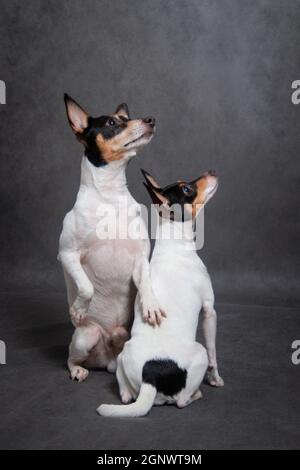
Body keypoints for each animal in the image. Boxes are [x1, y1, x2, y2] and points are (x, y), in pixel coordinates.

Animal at [58, 96, 166, 382]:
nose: (151, 119)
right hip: (85, 337)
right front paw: (79, 309)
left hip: (126, 338)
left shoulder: (140, 259)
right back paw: (78, 370)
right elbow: (86, 286)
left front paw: (151, 305)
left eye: (126, 118)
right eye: (111, 123)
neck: (110, 196)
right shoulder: (67, 254)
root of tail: (106, 360)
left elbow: (147, 282)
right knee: (71, 358)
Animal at [97, 170, 224, 418]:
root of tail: (151, 375)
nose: (211, 172)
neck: (174, 244)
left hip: (123, 354)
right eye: (186, 189)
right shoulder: (209, 311)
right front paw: (215, 379)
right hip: (199, 353)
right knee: (182, 400)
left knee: (125, 394)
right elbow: (214, 353)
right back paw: (195, 395)